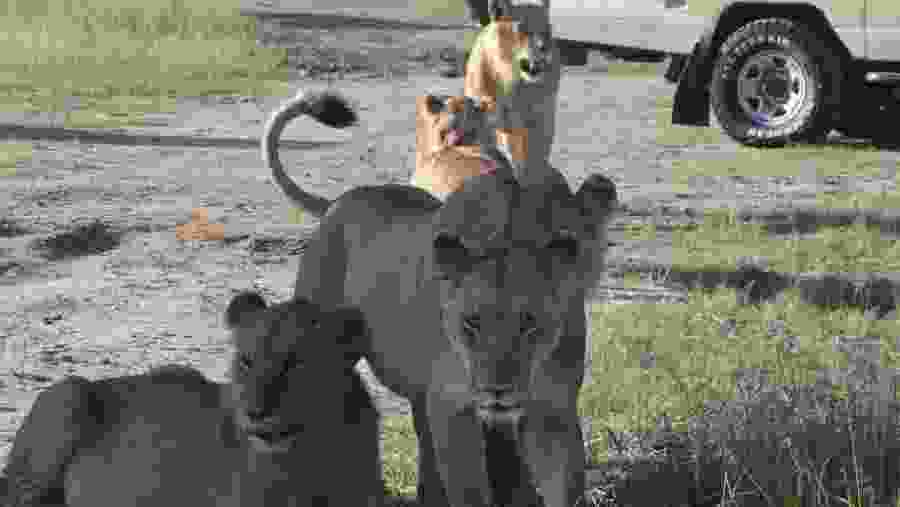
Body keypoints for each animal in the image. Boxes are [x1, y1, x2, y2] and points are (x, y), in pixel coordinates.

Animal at [263, 89, 617, 507]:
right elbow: (469, 491)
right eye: (471, 324)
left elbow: (565, 488)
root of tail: (341, 200)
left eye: (531, 325)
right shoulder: (452, 409)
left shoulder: (554, 413)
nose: (498, 391)